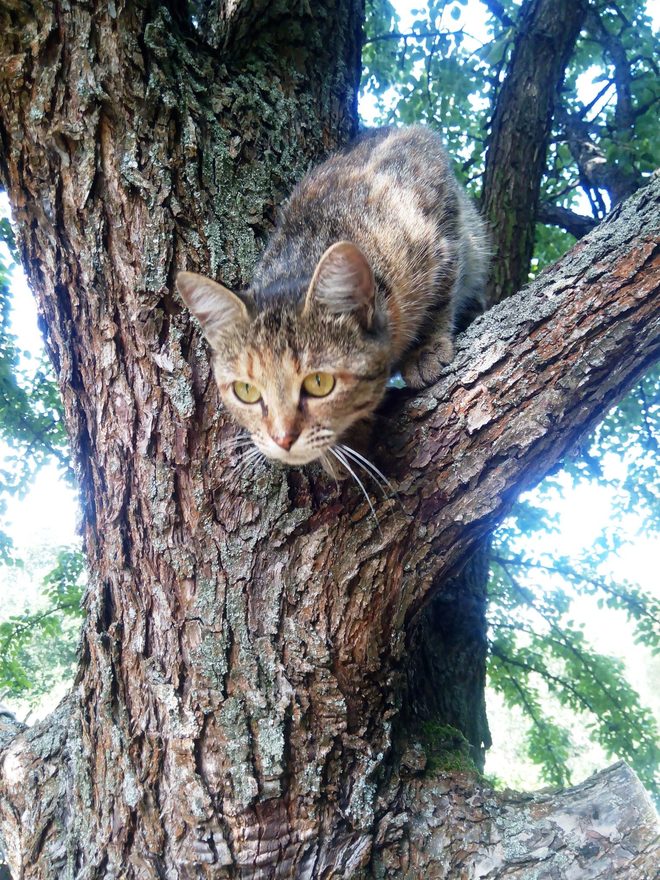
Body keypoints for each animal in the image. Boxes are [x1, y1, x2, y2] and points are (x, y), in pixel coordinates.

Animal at [178, 124, 488, 474]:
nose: (282, 439)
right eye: (246, 391)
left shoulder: (429, 185)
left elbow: (441, 295)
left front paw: (426, 349)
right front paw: (342, 447)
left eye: (320, 383)